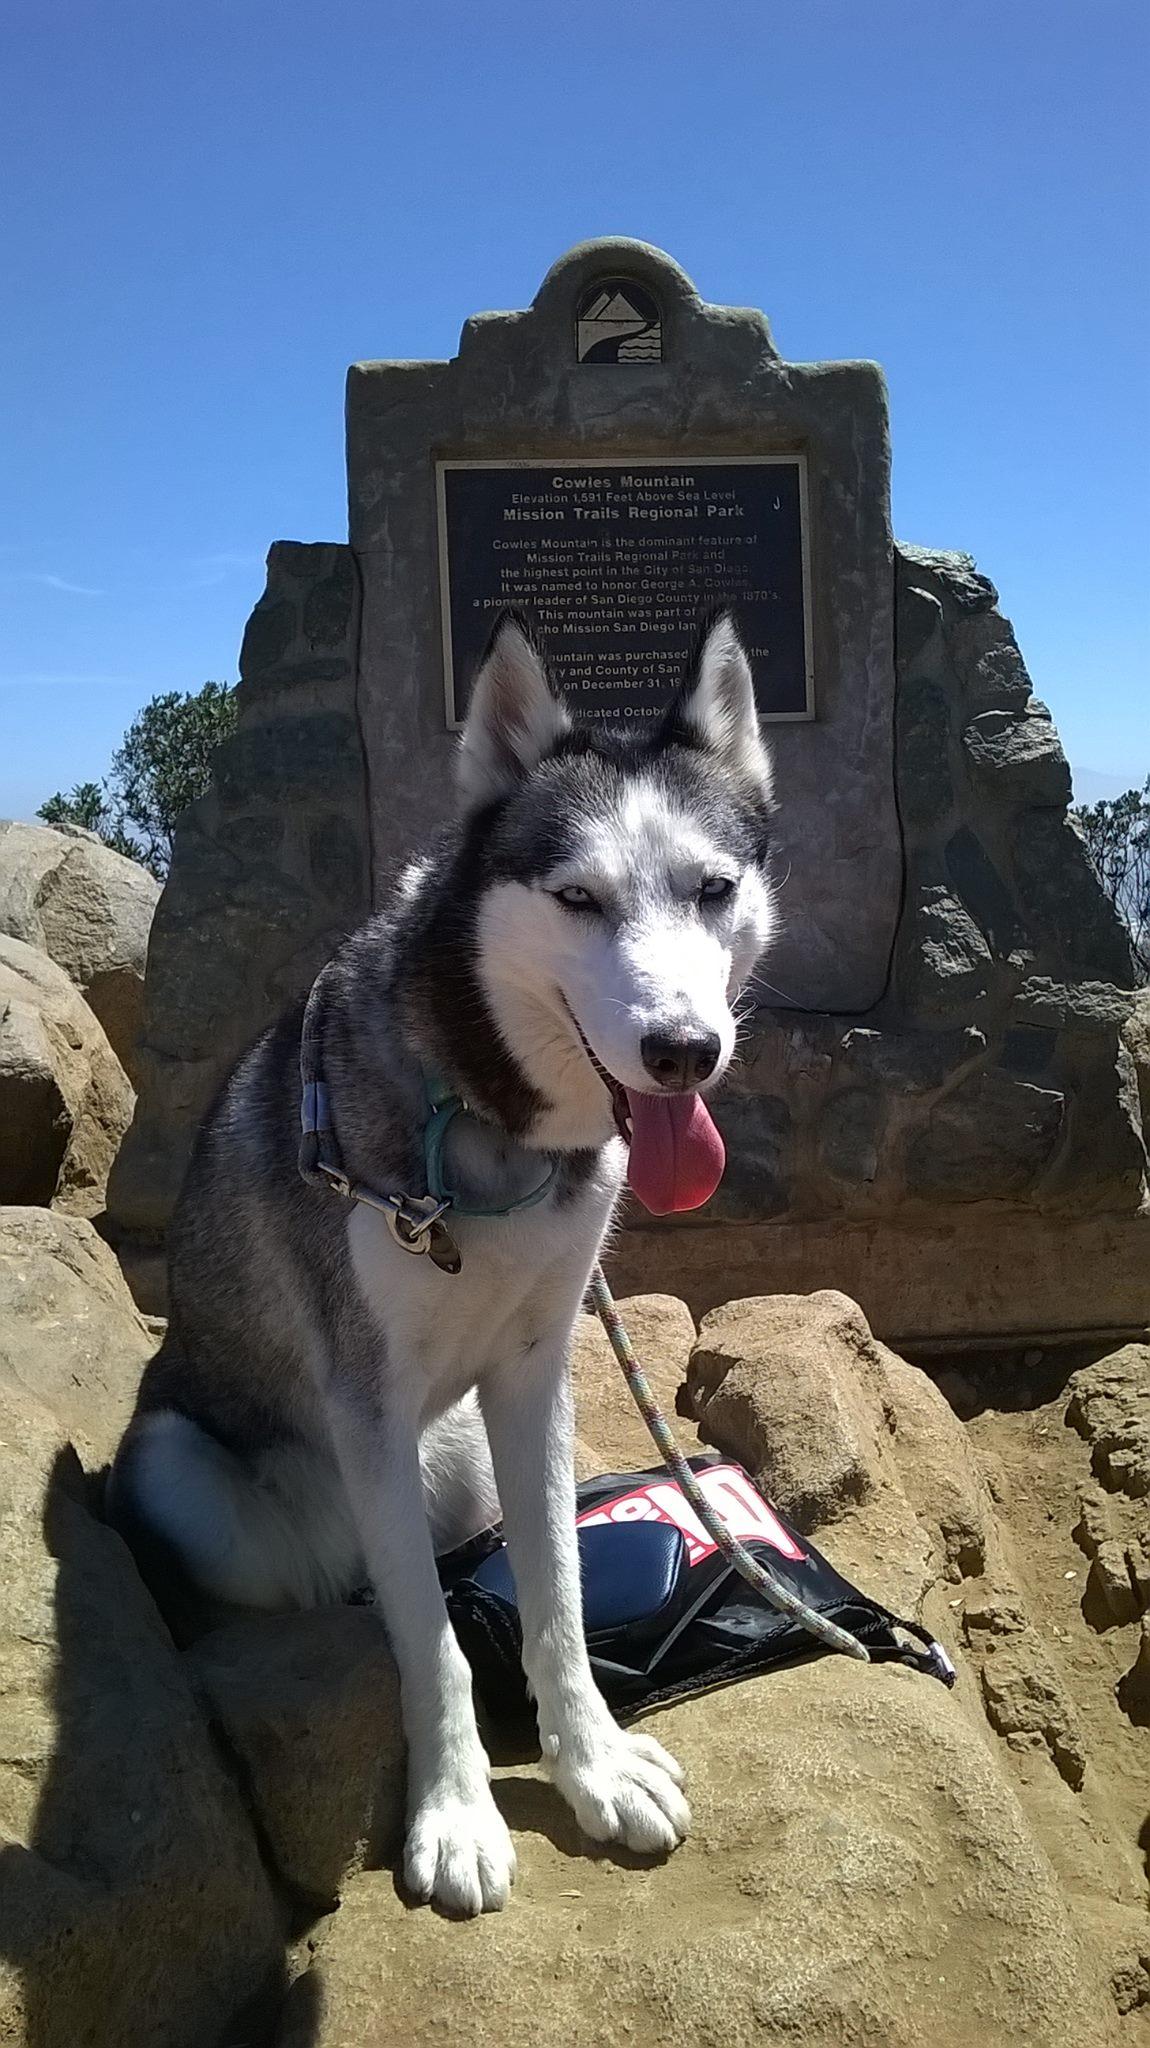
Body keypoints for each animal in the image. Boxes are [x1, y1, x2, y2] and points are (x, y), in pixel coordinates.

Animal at [109, 602, 769, 1900]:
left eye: (713, 887)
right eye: (578, 897)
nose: (683, 1049)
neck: (482, 1116)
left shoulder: (534, 1371)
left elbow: (556, 1590)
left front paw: (591, 1764)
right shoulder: (365, 1394)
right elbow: (430, 1640)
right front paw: (458, 1810)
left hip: (453, 1456)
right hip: (192, 1473)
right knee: (341, 1584)